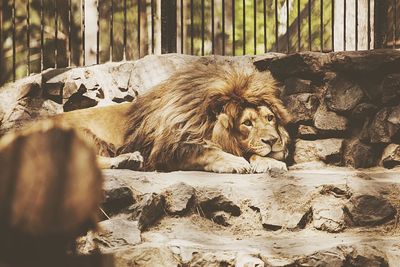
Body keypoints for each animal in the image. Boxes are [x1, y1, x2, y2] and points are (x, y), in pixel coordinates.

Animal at [50, 62, 292, 174]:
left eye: (270, 118)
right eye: (247, 123)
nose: (273, 140)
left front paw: (270, 162)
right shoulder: (166, 151)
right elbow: (205, 151)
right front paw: (234, 161)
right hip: (81, 132)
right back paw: (126, 160)